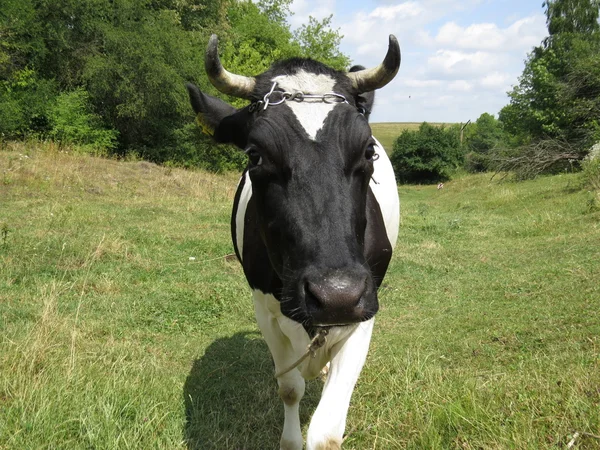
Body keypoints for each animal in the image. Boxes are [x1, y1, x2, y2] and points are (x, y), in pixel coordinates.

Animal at [185, 34, 400, 450]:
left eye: (368, 150)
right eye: (255, 154)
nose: (336, 294)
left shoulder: (364, 310)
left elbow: (327, 433)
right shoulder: (265, 311)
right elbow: (289, 388)